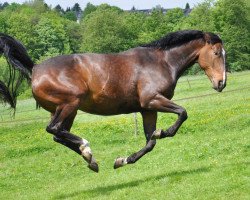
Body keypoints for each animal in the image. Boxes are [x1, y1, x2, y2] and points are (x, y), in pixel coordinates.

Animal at [0, 29, 227, 172]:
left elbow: (150, 142)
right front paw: (164, 132)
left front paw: (122, 161)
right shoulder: (152, 100)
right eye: (217, 53)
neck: (161, 62)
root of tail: (35, 69)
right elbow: (182, 113)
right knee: (54, 129)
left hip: (67, 110)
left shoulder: (147, 109)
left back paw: (91, 160)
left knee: (58, 134)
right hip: (69, 104)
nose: (221, 83)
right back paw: (86, 147)